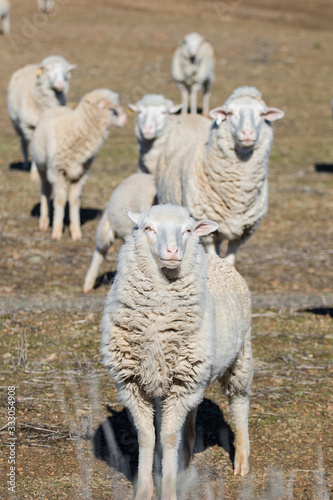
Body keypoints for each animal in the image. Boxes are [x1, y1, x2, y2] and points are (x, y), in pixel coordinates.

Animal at [30, 89, 127, 242]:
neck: (76, 128)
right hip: (42, 167)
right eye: (114, 109)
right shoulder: (57, 172)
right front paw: (57, 232)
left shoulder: (82, 175)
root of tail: (57, 108)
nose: (126, 120)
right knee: (45, 190)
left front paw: (76, 232)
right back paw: (44, 222)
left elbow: (74, 201)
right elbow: (60, 201)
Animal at [101, 204, 252, 500]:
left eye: (188, 230)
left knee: (239, 403)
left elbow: (169, 437)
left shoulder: (182, 383)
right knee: (190, 414)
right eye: (148, 227)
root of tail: (218, 259)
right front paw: (145, 488)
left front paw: (168, 489)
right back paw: (185, 457)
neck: (158, 323)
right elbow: (148, 436)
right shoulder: (133, 383)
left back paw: (241, 460)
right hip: (185, 377)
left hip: (240, 357)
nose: (172, 251)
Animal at [156, 86, 282, 266]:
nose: (247, 132)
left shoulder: (242, 233)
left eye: (262, 114)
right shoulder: (206, 232)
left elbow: (229, 262)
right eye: (230, 113)